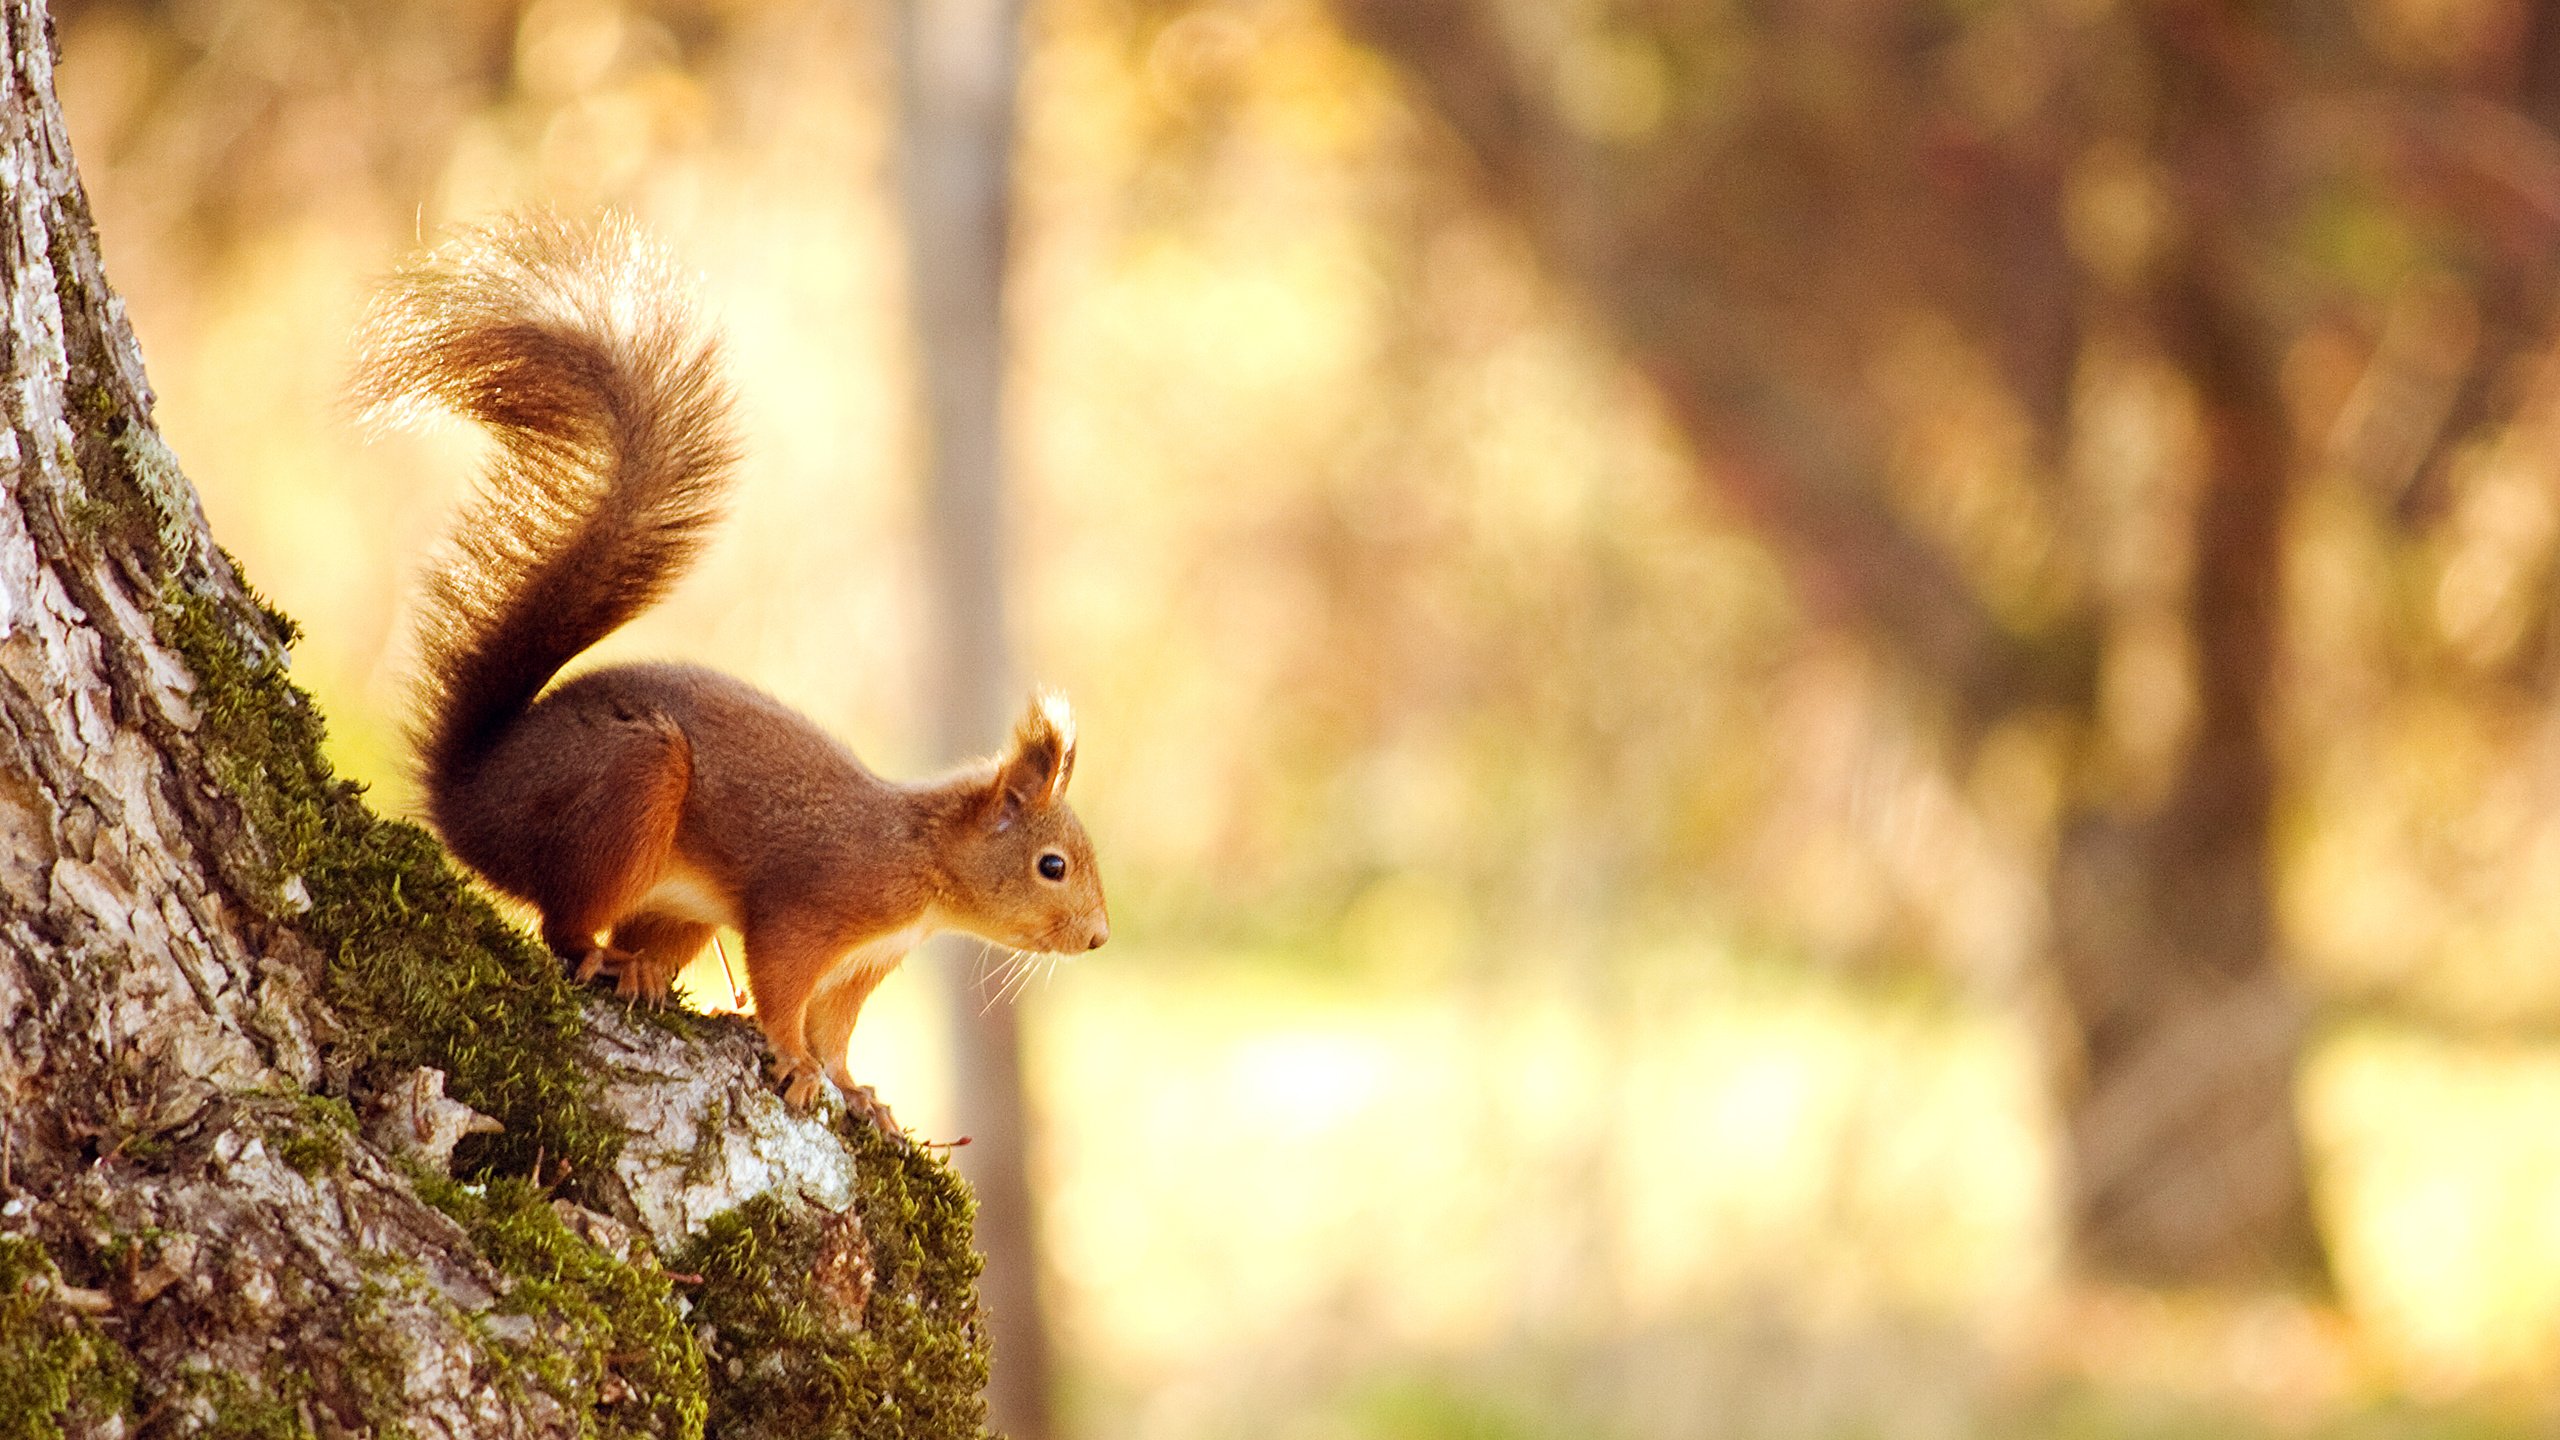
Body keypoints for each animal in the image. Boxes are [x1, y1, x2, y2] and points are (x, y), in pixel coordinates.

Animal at [360, 212, 1111, 1112]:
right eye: (1051, 865)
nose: (1100, 938)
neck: (921, 863)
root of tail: (468, 796)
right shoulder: (812, 907)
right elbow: (784, 988)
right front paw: (793, 1061)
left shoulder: (865, 963)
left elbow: (837, 1029)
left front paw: (857, 1090)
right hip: (628, 789)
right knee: (561, 925)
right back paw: (605, 957)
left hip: (678, 903)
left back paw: (644, 969)